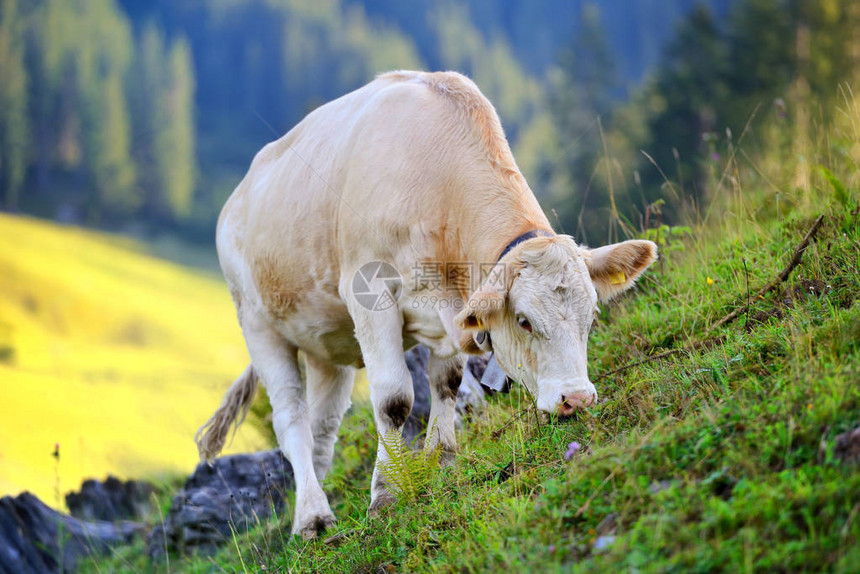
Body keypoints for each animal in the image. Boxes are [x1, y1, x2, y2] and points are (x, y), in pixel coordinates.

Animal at [197, 71, 660, 540]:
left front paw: (443, 464)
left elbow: (448, 383)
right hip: (259, 324)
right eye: (525, 321)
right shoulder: (369, 292)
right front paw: (386, 494)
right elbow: (394, 399)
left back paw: (313, 509)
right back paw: (311, 517)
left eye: (591, 318)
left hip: (326, 344)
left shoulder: (450, 312)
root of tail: (234, 202)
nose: (578, 399)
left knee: (322, 428)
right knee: (290, 419)